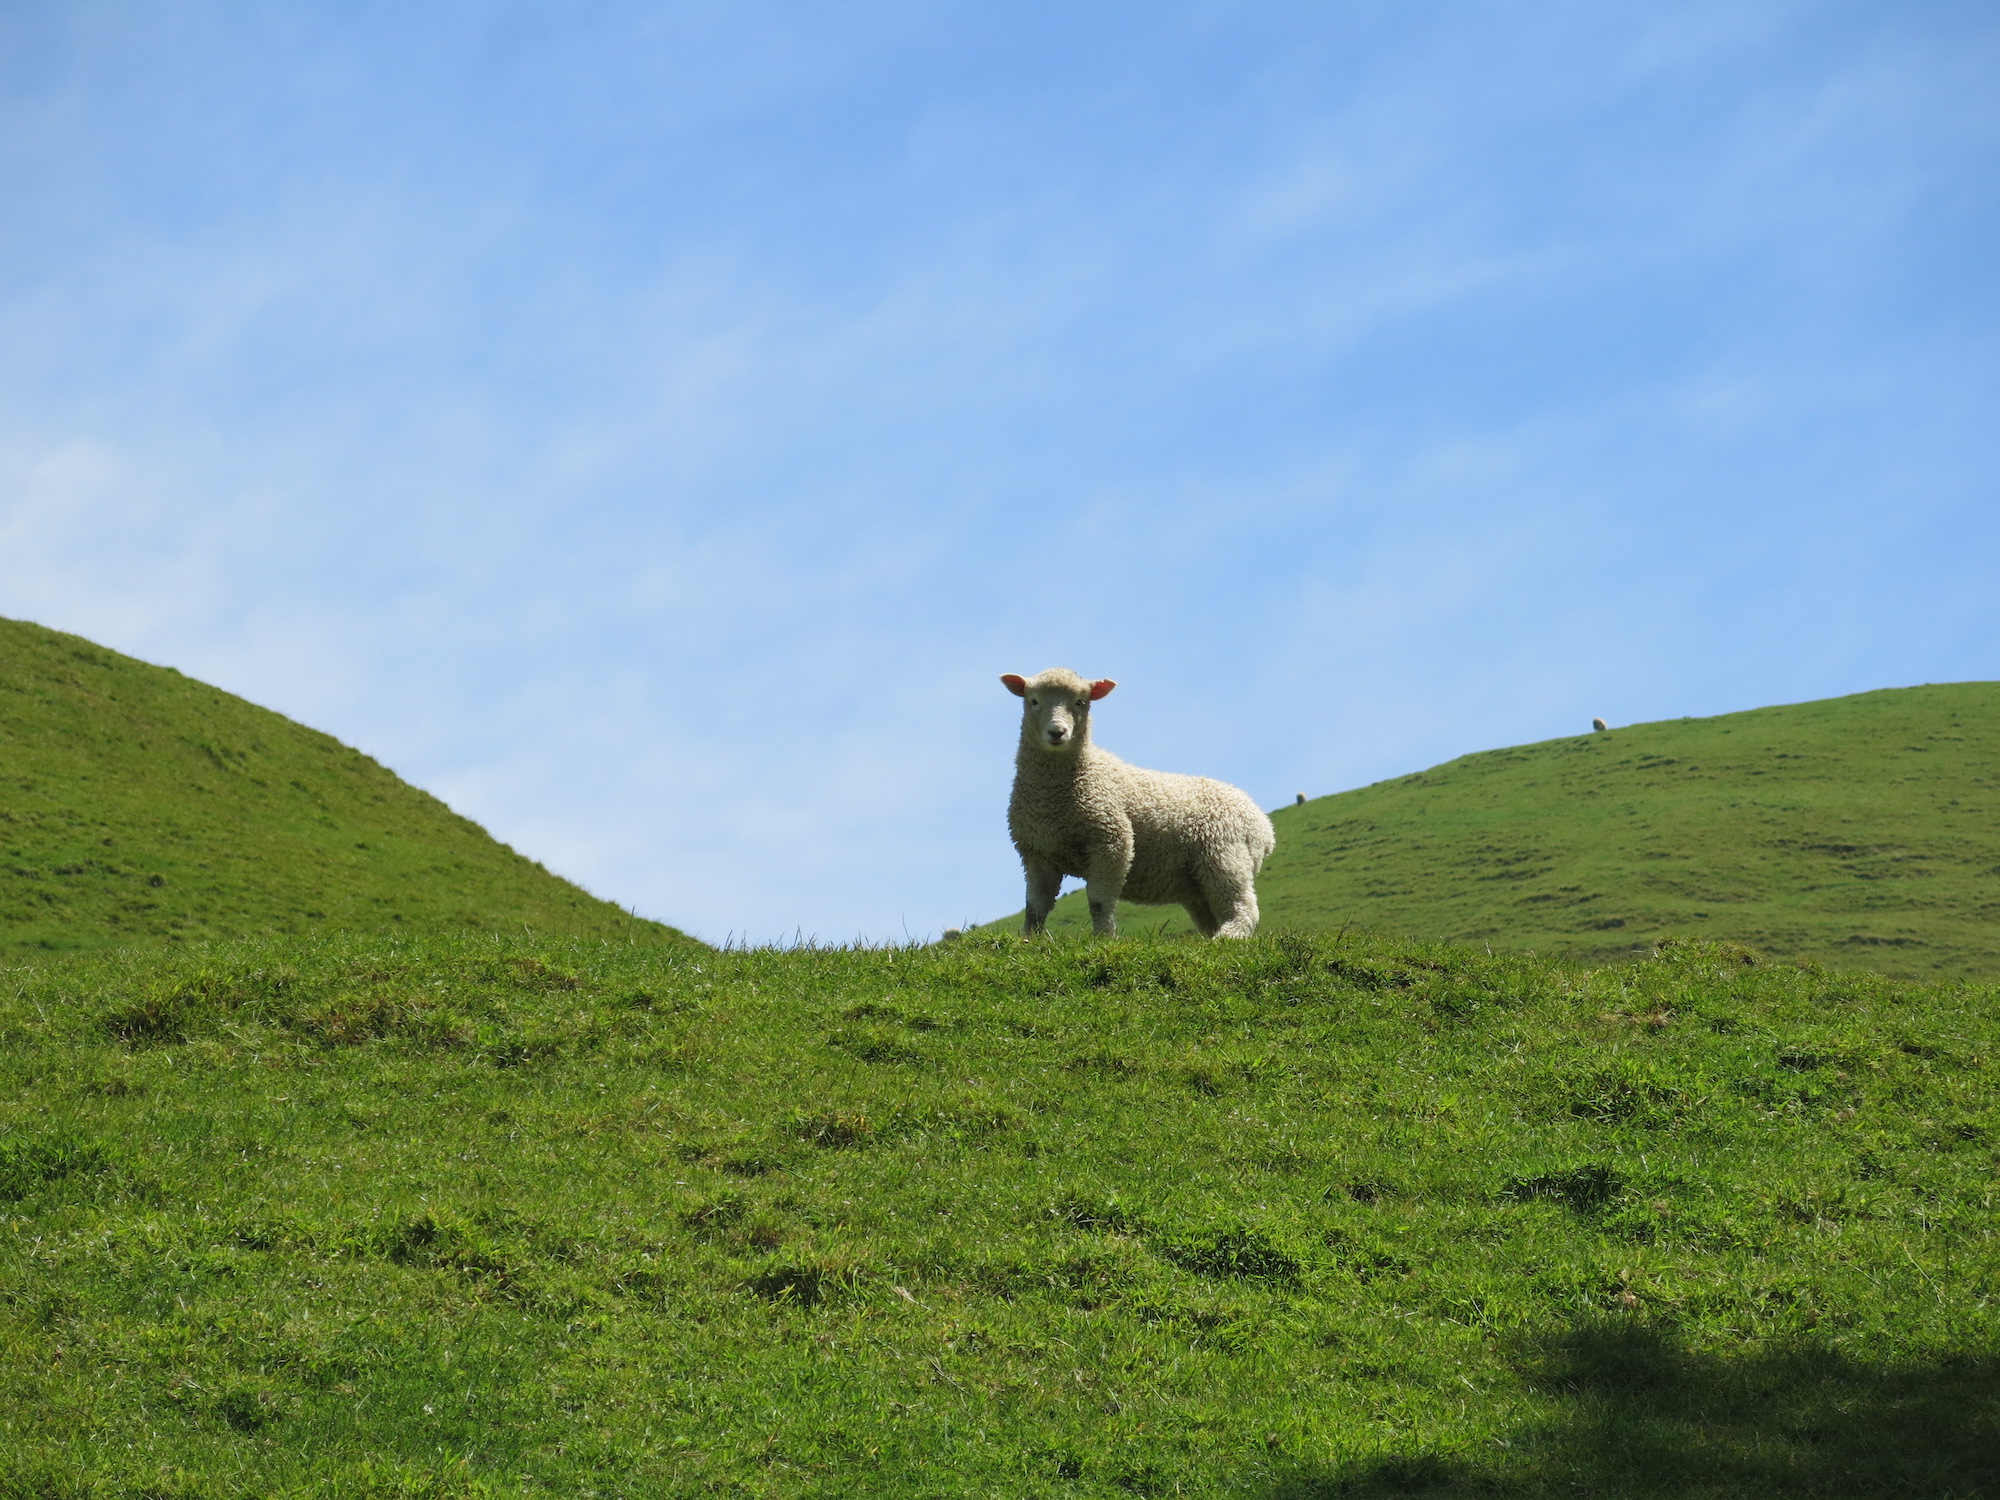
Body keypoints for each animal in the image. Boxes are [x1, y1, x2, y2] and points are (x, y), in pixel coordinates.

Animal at [1001, 668, 1276, 939]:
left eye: (1080, 702)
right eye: (1033, 701)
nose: (1057, 732)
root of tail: (1264, 824)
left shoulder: (1111, 840)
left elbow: (1099, 902)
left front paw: (1103, 939)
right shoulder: (1037, 851)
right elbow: (1036, 906)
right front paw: (1028, 939)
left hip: (1225, 854)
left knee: (1243, 907)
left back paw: (1226, 937)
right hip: (1198, 884)